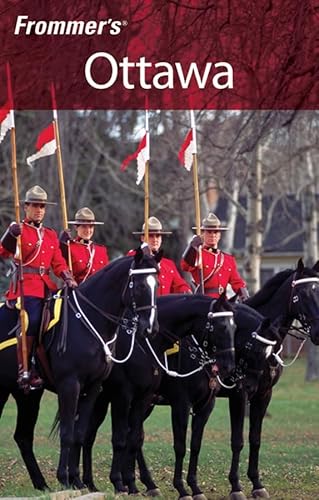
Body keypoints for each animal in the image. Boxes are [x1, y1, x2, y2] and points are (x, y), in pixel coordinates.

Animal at [0, 250, 159, 488]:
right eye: (139, 286)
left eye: (156, 284)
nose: (150, 328)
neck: (91, 321)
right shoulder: (71, 384)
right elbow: (67, 432)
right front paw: (65, 478)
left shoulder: (93, 388)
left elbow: (80, 434)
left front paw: (76, 479)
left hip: (26, 394)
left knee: (23, 436)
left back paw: (41, 484)